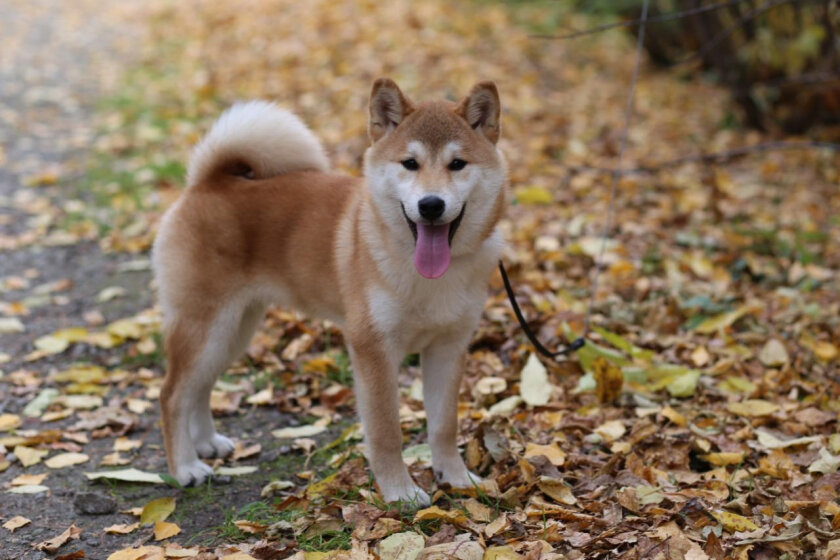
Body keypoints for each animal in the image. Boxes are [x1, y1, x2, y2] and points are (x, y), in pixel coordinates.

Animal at [153, 77, 508, 504]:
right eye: (410, 163)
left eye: (457, 164)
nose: (431, 205)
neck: (426, 274)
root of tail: (210, 182)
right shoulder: (373, 350)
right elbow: (386, 432)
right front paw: (400, 493)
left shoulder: (448, 347)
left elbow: (444, 426)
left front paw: (456, 479)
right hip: (205, 325)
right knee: (172, 394)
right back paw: (185, 468)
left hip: (233, 331)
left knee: (200, 385)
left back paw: (206, 443)